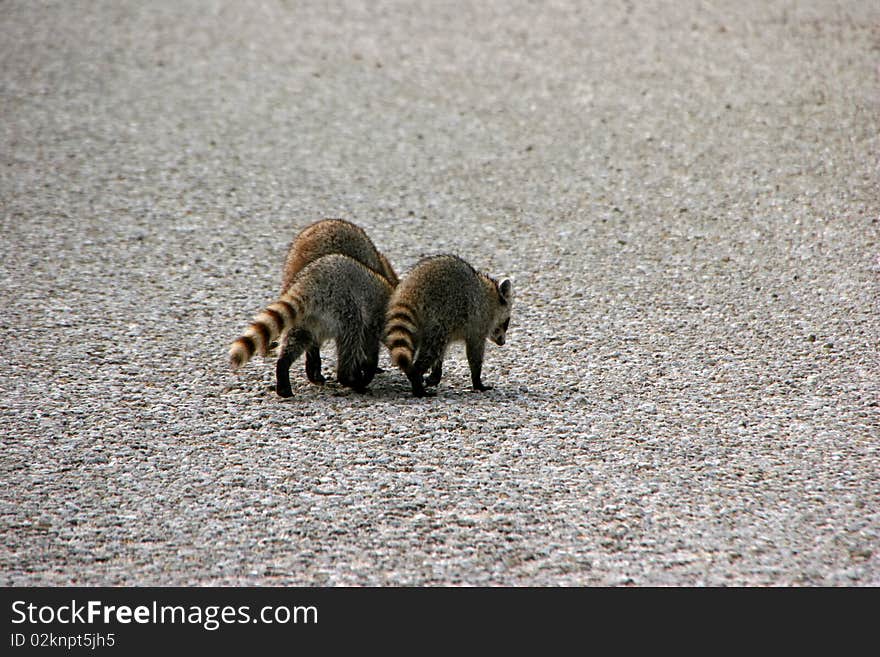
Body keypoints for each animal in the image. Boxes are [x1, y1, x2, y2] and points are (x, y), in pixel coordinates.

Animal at [230, 252, 392, 394]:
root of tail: (310, 283)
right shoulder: (375, 320)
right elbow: (369, 345)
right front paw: (369, 368)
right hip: (344, 305)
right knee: (351, 338)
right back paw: (348, 378)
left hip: (303, 319)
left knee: (296, 340)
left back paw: (283, 368)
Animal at [382, 254, 512, 398]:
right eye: (507, 322)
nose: (503, 342)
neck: (491, 295)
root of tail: (411, 289)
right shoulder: (478, 322)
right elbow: (474, 353)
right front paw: (477, 381)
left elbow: (442, 352)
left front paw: (436, 373)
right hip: (441, 313)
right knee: (432, 350)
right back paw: (416, 379)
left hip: (421, 324)